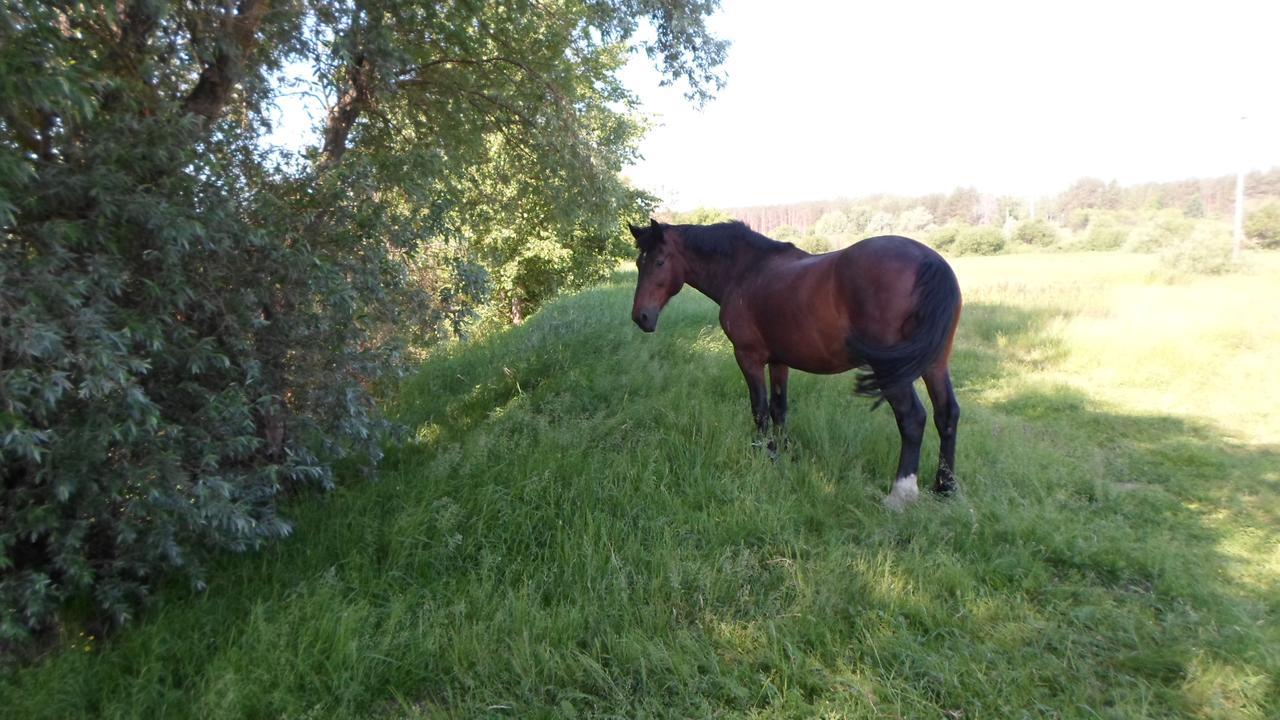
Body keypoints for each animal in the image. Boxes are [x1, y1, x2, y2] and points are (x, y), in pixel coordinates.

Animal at [629, 215, 962, 507]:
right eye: (638, 262)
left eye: (659, 262)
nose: (640, 317)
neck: (746, 270)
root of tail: (929, 261)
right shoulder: (779, 361)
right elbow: (779, 409)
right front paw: (782, 453)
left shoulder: (748, 357)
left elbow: (760, 409)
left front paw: (763, 453)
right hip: (935, 364)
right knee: (946, 415)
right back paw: (945, 488)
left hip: (893, 371)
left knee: (912, 418)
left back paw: (901, 495)